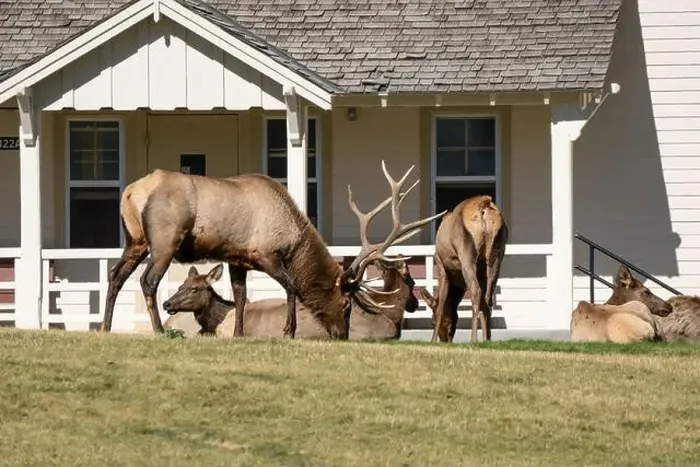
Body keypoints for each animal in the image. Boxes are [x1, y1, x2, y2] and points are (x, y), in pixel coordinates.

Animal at [429, 195, 509, 343]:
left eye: (431, 322)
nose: (445, 340)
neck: (458, 281)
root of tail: (485, 204)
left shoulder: (441, 266)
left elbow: (441, 306)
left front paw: (432, 341)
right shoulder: (481, 270)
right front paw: (486, 336)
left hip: (467, 252)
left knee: (476, 292)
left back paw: (473, 339)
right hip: (496, 254)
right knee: (488, 297)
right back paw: (487, 339)